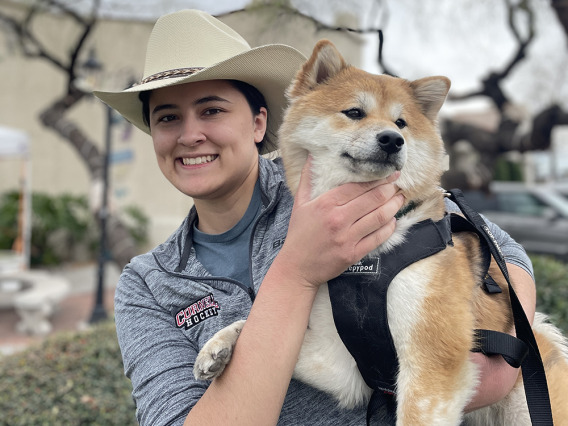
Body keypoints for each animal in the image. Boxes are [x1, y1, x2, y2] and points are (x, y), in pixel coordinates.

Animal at [195, 40, 568, 426]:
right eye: (354, 112)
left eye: (401, 122)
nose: (392, 139)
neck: (369, 256)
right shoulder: (341, 361)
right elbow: (266, 333)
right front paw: (222, 344)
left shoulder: (430, 361)